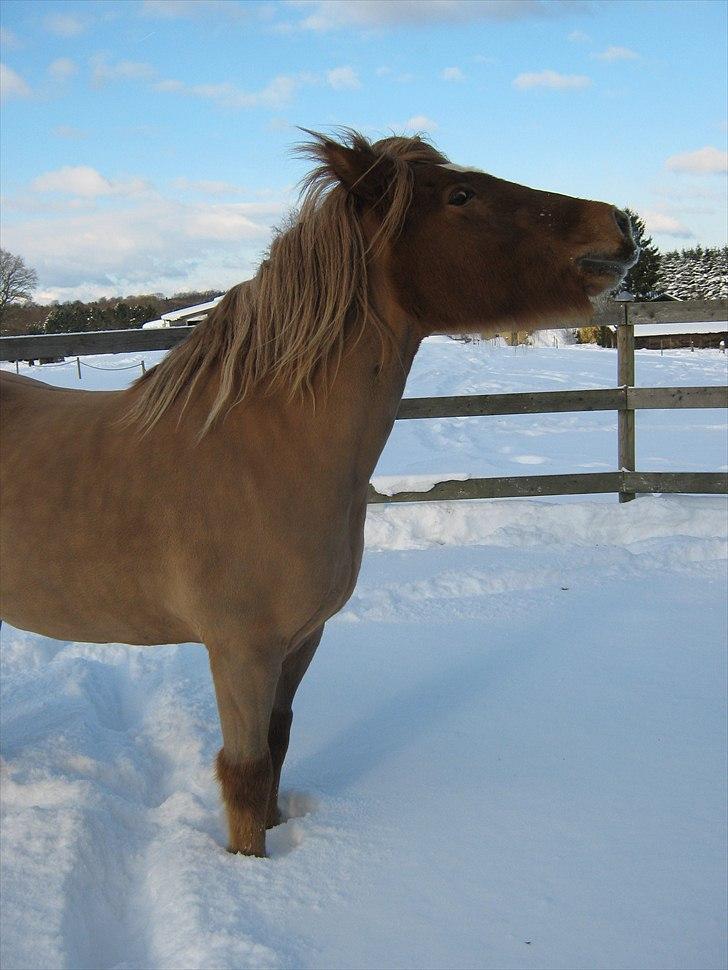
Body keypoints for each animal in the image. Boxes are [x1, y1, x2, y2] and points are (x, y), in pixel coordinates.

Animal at [0, 130, 636, 856]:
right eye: (460, 195)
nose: (618, 224)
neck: (264, 450)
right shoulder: (241, 651)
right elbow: (245, 774)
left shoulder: (301, 641)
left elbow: (277, 752)